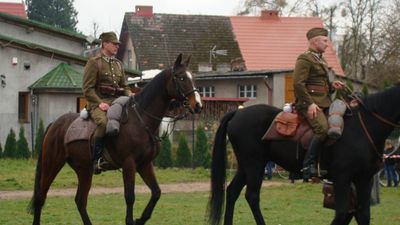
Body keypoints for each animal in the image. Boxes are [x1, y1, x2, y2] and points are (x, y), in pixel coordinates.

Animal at [29, 54, 202, 225]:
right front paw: (132, 220)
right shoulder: (129, 164)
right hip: (52, 164)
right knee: (40, 197)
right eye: (180, 77)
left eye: (193, 78)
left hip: (84, 169)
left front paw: (140, 219)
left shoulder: (145, 165)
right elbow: (130, 196)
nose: (198, 105)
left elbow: (156, 192)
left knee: (80, 201)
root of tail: (54, 124)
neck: (140, 120)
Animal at [208, 85, 400, 225]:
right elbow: (342, 214)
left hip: (247, 166)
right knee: (252, 196)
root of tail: (238, 112)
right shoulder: (343, 178)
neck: (364, 127)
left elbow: (362, 214)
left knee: (232, 191)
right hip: (254, 165)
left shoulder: (364, 179)